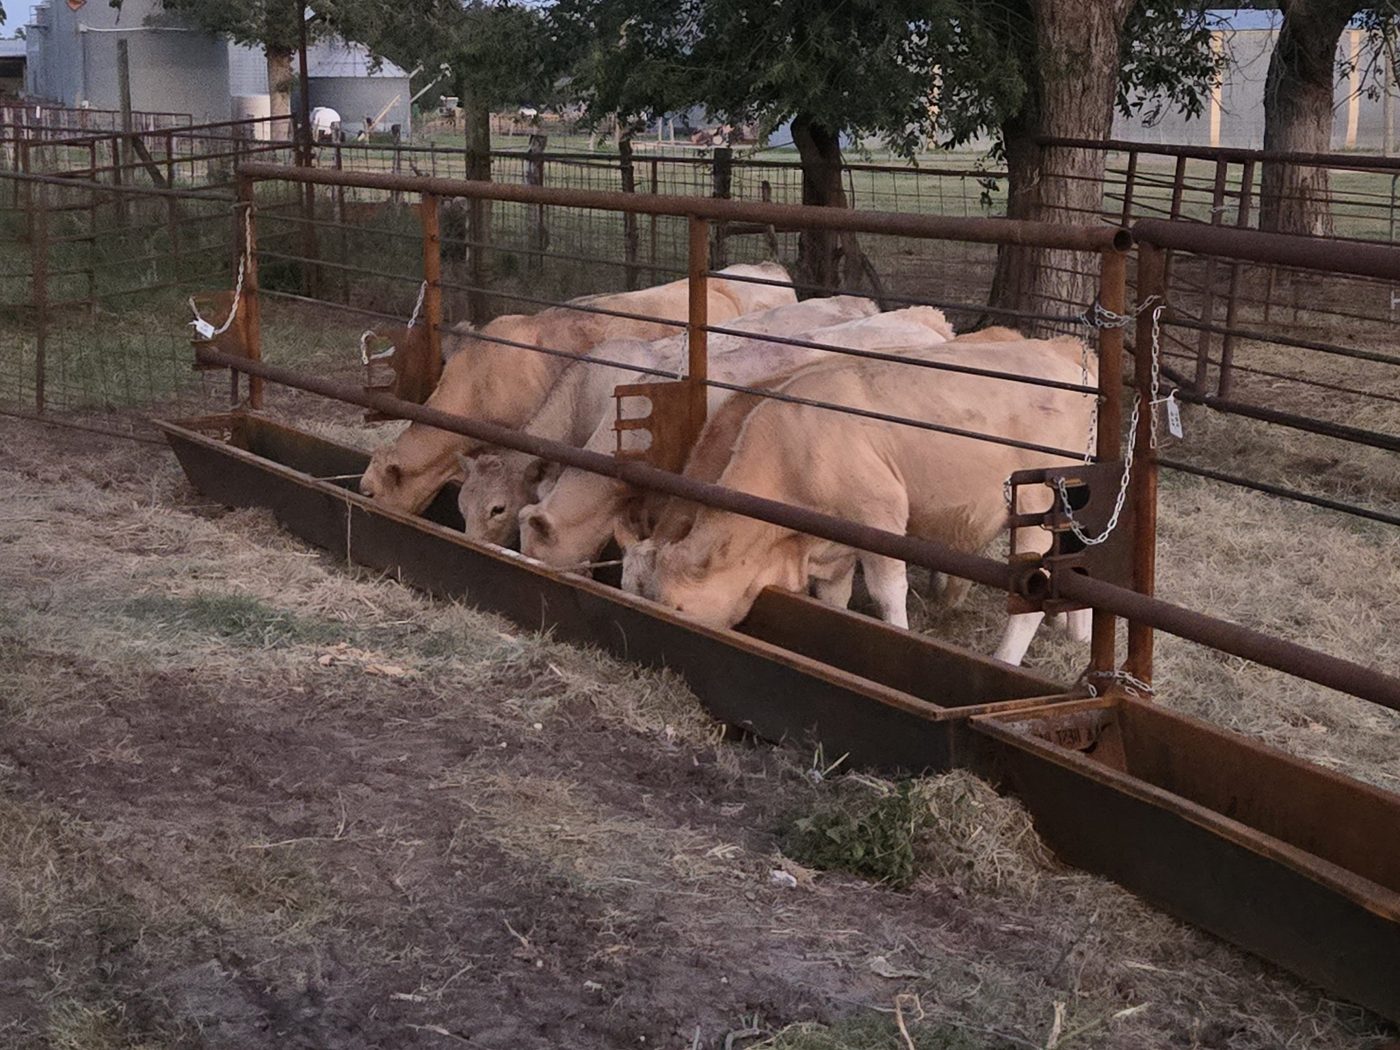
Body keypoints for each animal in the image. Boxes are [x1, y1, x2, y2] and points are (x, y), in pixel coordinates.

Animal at [628, 334, 1097, 666]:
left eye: (676, 607)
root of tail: (1066, 353)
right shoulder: (833, 546)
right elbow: (833, 598)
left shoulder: (881, 515)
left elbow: (888, 591)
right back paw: (1080, 636)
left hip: (1036, 506)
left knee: (1032, 597)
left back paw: (1006, 660)